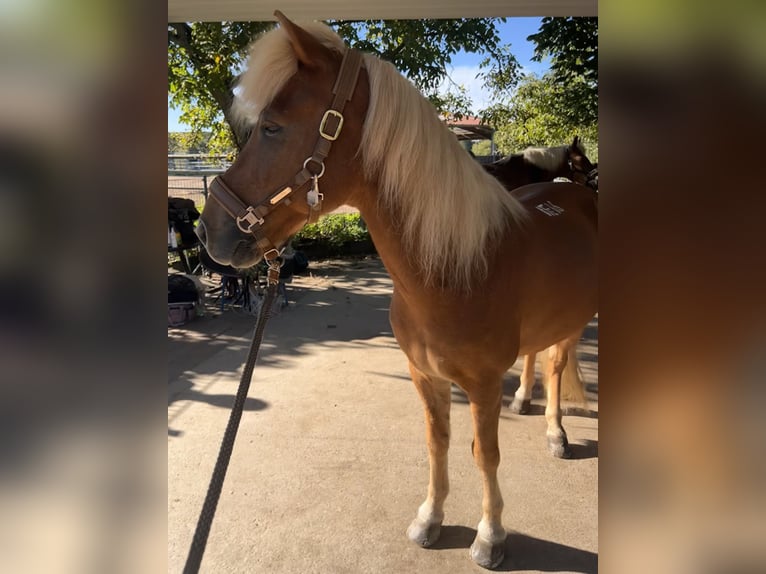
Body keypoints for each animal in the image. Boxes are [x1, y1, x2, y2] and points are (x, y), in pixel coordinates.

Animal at [196, 13, 597, 569]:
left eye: (273, 126)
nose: (206, 231)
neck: (459, 267)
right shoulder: (423, 375)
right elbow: (437, 442)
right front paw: (430, 518)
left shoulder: (481, 384)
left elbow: (485, 454)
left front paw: (490, 535)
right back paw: (527, 405)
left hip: (576, 319)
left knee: (558, 364)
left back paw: (557, 432)